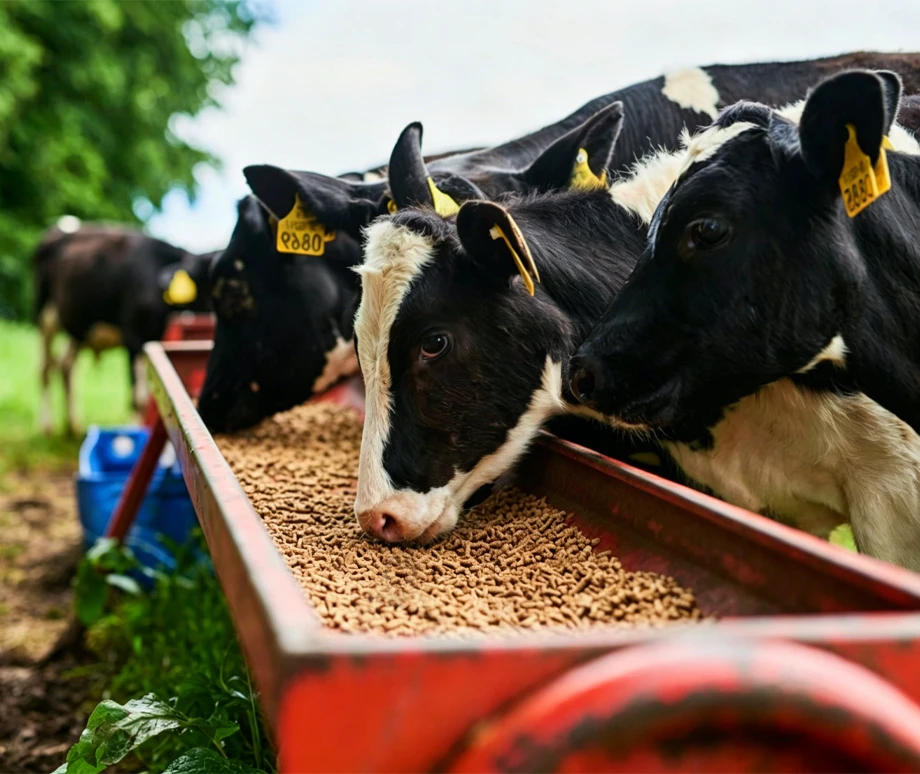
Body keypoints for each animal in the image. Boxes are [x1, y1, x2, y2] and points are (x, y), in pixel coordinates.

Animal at [34, 218, 215, 436]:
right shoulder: (134, 336)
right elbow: (138, 397)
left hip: (78, 325)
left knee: (66, 365)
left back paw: (73, 425)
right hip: (45, 317)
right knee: (45, 369)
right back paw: (46, 425)